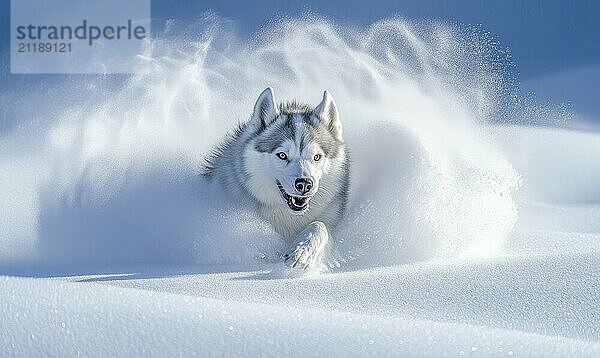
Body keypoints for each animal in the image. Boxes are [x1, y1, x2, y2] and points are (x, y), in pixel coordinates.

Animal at [204, 88, 350, 270]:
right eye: (282, 155)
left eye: (317, 157)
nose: (304, 184)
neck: (290, 216)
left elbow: (320, 226)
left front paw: (302, 250)